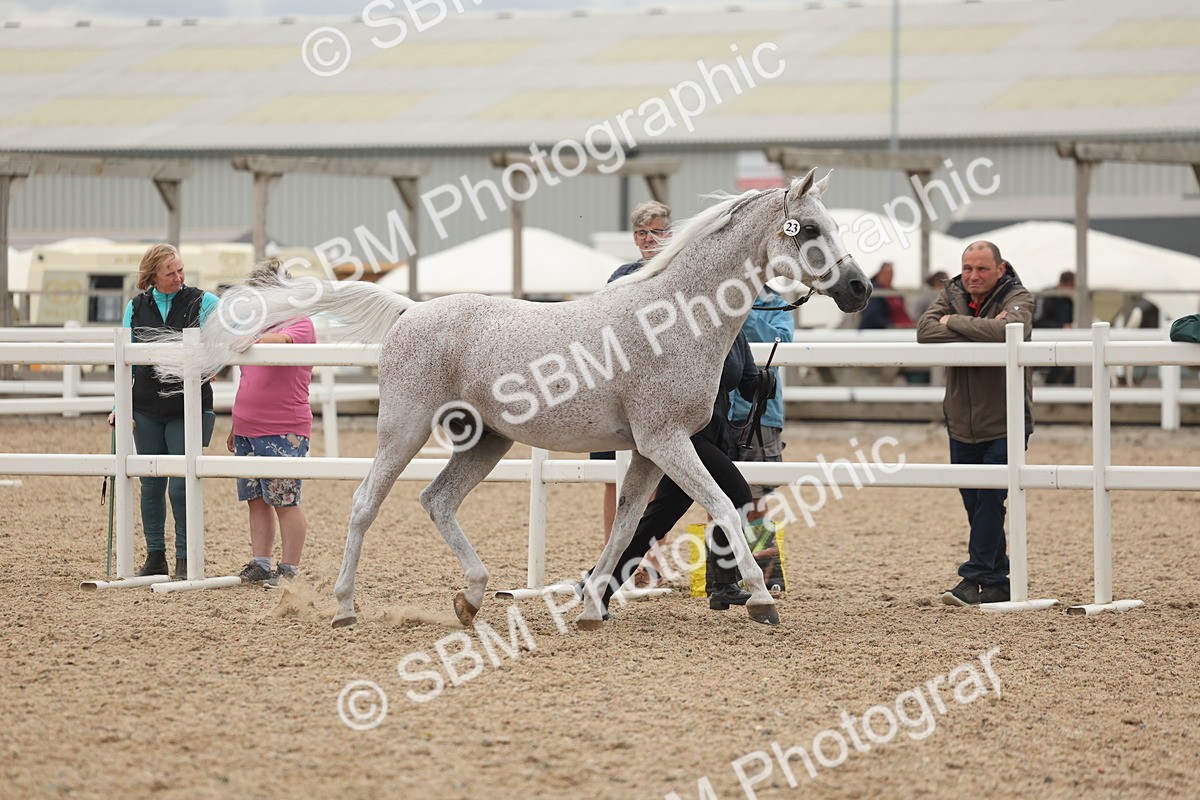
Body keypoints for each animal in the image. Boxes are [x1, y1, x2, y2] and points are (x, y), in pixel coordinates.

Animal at [153, 169, 870, 629]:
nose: (860, 288)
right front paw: (761, 601)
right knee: (364, 505)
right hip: (404, 429)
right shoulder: (667, 442)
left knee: (436, 501)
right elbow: (720, 503)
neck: (673, 317)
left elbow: (626, 526)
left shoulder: (647, 450)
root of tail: (410, 310)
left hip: (485, 441)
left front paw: (589, 607)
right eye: (807, 228)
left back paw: (470, 599)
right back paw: (345, 607)